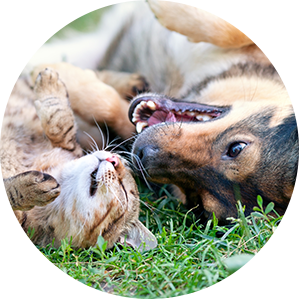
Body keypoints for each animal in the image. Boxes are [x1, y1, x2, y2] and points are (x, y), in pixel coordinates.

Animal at [0, 64, 158, 252]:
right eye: (124, 162)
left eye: (125, 192)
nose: (114, 159)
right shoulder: (66, 144)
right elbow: (61, 123)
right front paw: (50, 85)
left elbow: (4, 195)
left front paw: (30, 189)